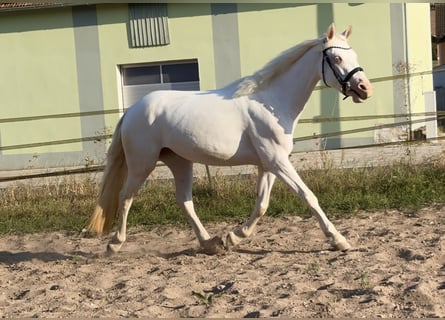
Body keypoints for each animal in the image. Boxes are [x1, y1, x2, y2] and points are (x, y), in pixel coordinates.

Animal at [86, 23, 372, 254]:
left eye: (355, 55)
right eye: (336, 57)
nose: (364, 88)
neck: (272, 102)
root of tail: (133, 110)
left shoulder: (268, 165)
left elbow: (262, 205)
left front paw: (233, 237)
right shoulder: (277, 161)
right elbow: (308, 196)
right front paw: (339, 240)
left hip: (180, 162)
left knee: (184, 201)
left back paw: (210, 243)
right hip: (141, 163)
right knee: (125, 196)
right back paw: (114, 245)